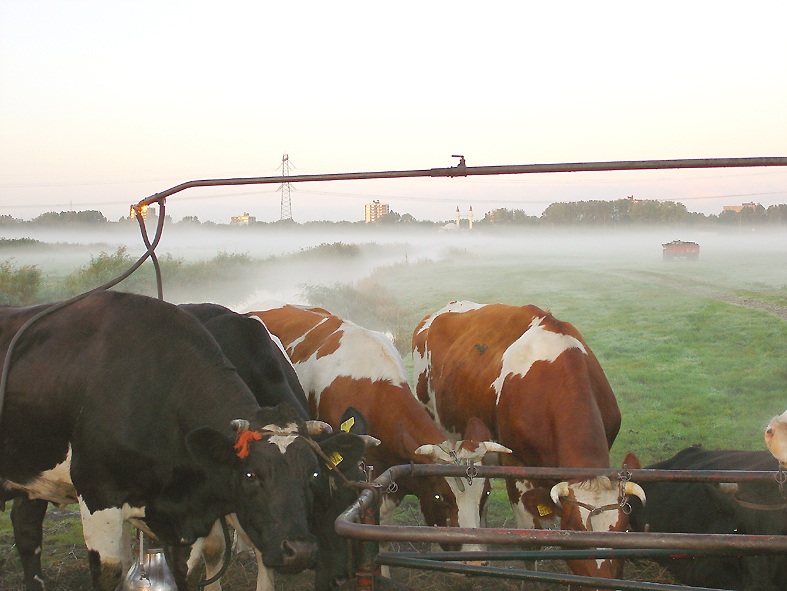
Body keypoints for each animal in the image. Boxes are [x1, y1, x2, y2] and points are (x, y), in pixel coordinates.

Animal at [0, 292, 364, 591]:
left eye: (313, 475)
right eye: (250, 475)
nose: (300, 551)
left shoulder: (191, 512)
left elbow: (189, 571)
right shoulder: (98, 493)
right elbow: (112, 572)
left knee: (27, 530)